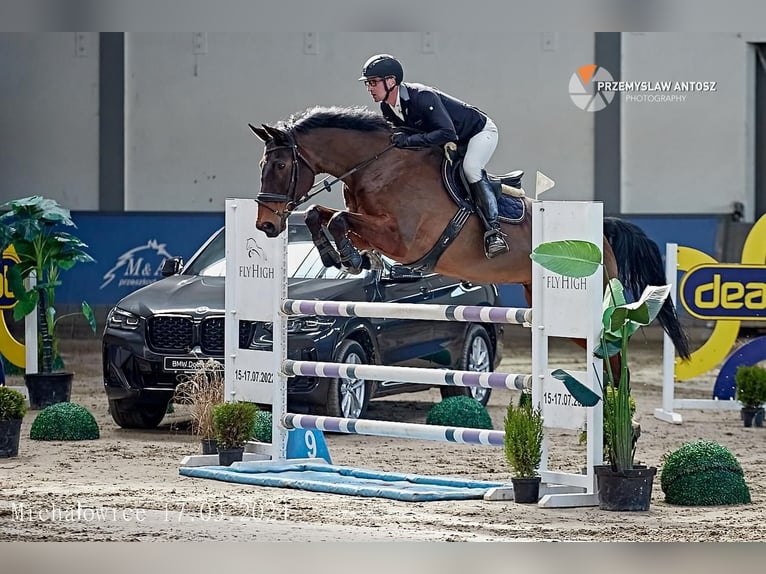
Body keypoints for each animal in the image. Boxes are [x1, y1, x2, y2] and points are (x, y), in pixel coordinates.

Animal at [252, 107, 696, 368]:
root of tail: (601, 232)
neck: (378, 165)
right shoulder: (373, 229)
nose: (266, 226)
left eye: (280, 165)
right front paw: (340, 256)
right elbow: (322, 216)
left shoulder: (403, 240)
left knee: (614, 357)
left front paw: (343, 256)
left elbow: (342, 219)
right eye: (262, 165)